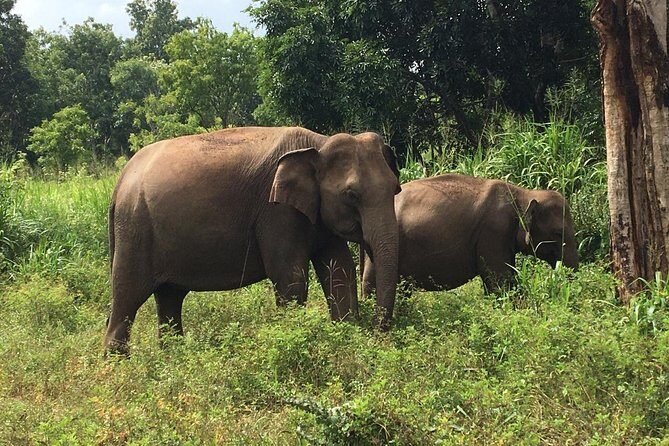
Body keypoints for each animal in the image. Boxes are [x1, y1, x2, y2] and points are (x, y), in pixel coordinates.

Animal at [104, 126, 401, 355]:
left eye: (396, 189)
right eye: (351, 195)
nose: (378, 332)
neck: (319, 143)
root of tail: (119, 184)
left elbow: (339, 271)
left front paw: (347, 338)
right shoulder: (276, 212)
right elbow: (291, 278)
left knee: (169, 299)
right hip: (134, 231)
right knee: (126, 298)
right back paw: (118, 368)